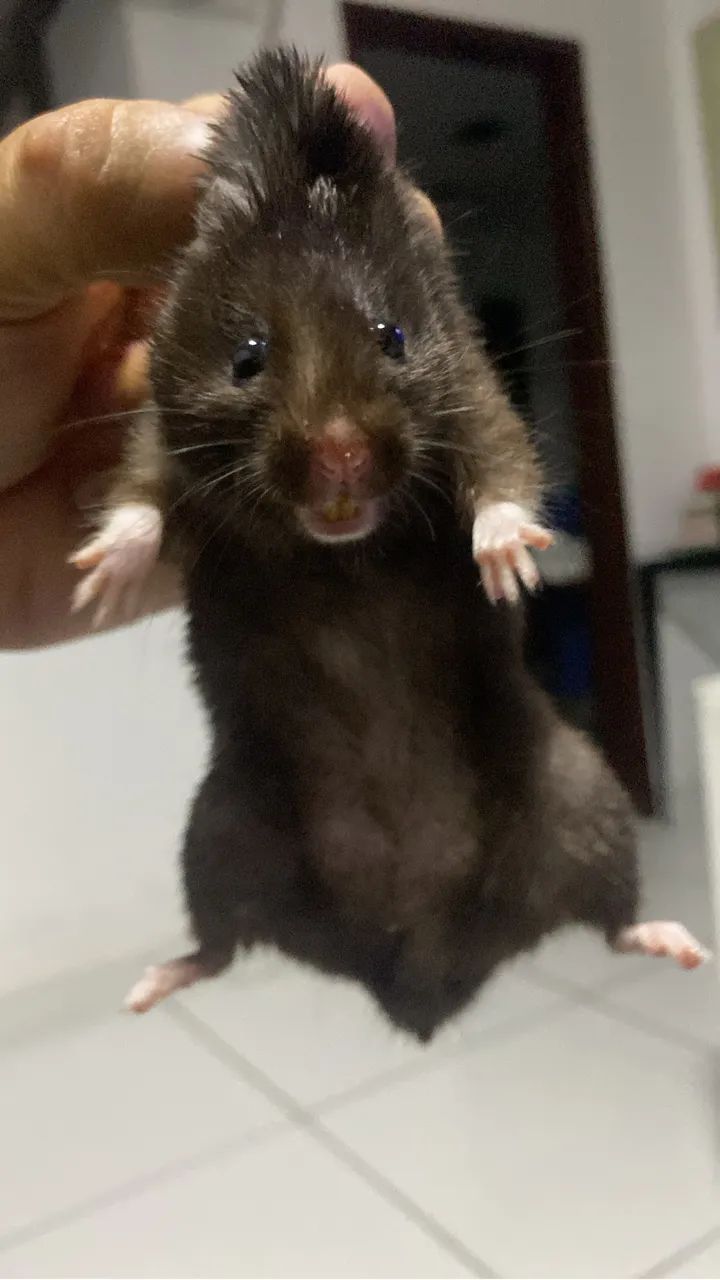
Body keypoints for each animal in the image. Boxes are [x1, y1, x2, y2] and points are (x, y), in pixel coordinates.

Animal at [71, 49, 708, 1041]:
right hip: (223, 831)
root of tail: (417, 967)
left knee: (613, 917)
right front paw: (102, 576)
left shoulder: (475, 389)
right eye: (248, 355)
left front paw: (510, 560)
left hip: (583, 799)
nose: (341, 454)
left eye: (393, 337)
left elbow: (503, 463)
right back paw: (153, 983)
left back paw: (677, 941)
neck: (339, 546)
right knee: (218, 943)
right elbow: (139, 493)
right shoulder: (159, 430)